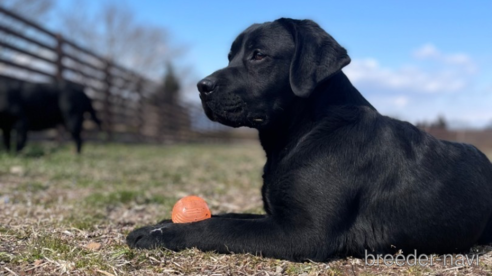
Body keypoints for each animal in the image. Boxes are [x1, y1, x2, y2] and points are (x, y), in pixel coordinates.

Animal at [127, 18, 492, 260]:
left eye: (258, 55)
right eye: (230, 56)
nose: (202, 86)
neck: (304, 133)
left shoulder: (303, 234)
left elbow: (218, 228)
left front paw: (158, 233)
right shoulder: (277, 216)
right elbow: (224, 216)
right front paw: (160, 222)